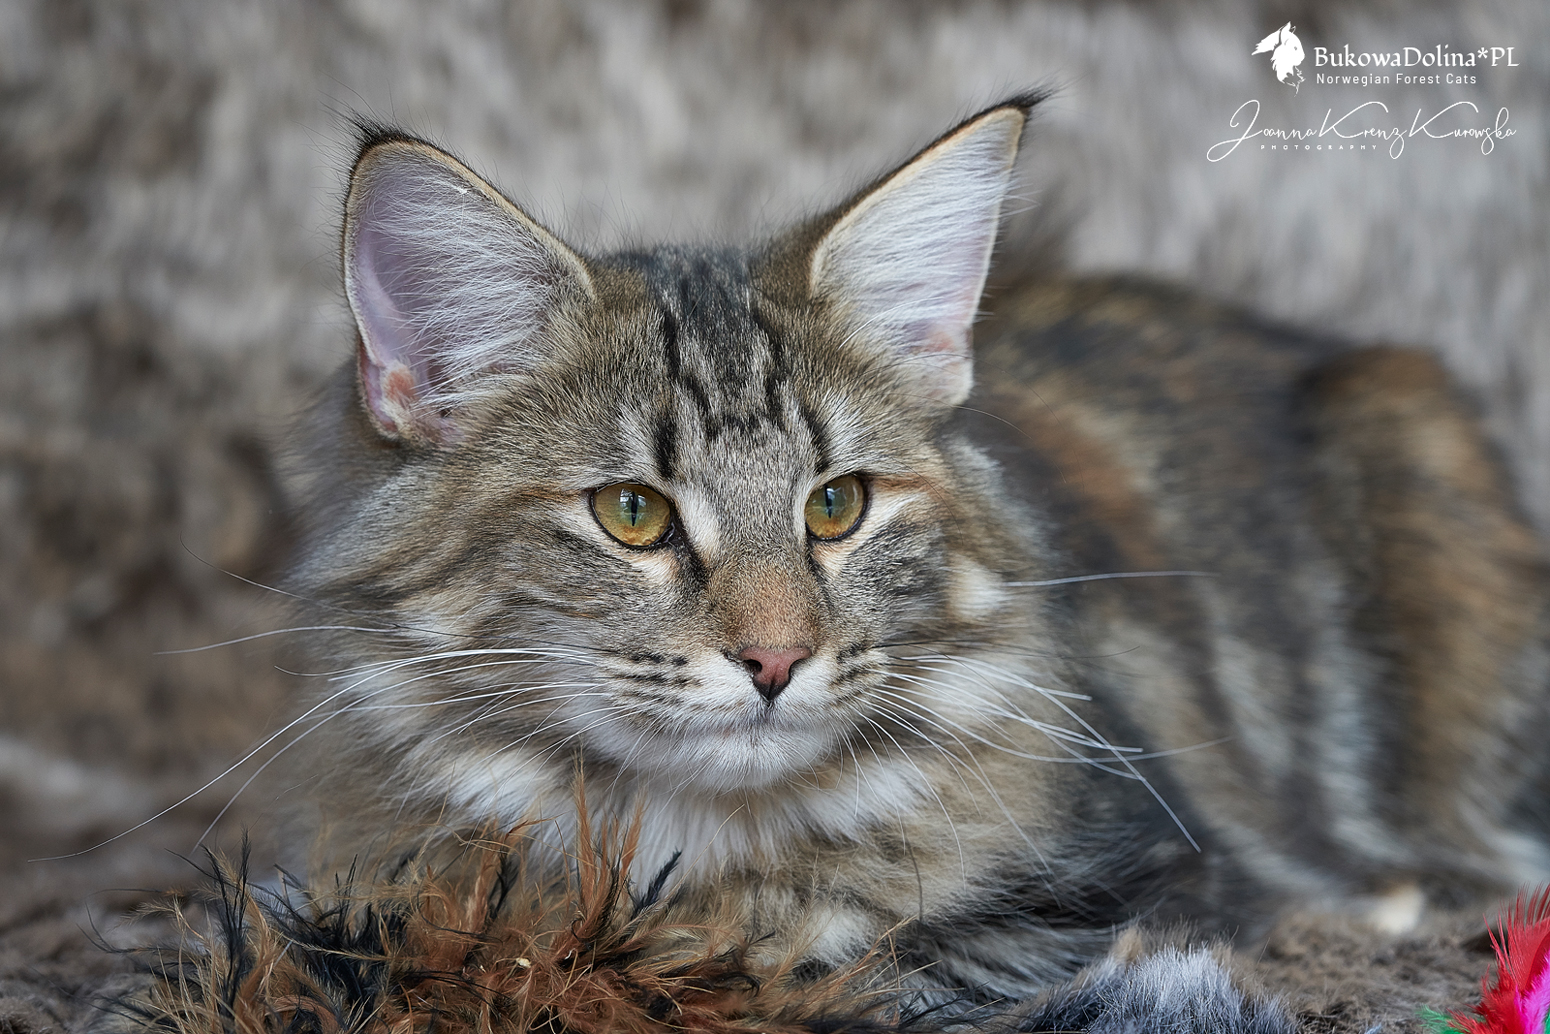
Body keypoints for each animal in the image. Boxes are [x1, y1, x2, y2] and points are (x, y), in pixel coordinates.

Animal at [286, 93, 1550, 1003]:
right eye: (631, 513)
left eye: (836, 505)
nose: (775, 659)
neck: (702, 855)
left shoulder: (1141, 877)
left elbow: (865, 956)